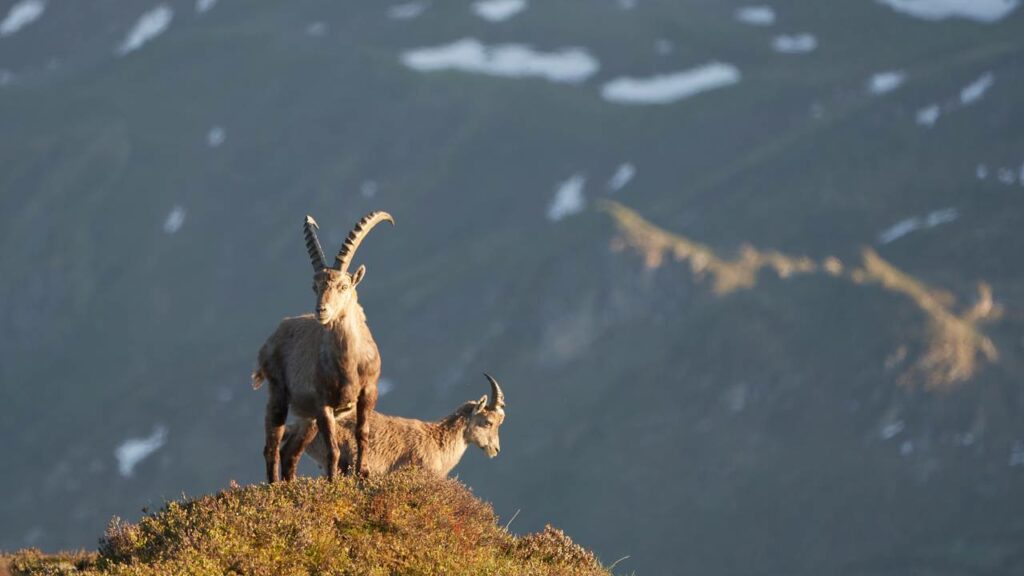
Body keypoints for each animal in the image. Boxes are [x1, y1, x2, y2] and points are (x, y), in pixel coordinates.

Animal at [252, 212, 393, 482]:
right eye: (315, 286)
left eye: (343, 286)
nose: (321, 310)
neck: (349, 363)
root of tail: (272, 337)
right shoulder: (323, 403)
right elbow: (333, 450)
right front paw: (332, 482)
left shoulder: (368, 392)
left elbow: (362, 434)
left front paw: (363, 474)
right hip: (279, 395)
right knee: (271, 447)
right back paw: (274, 487)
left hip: (308, 419)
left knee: (289, 453)